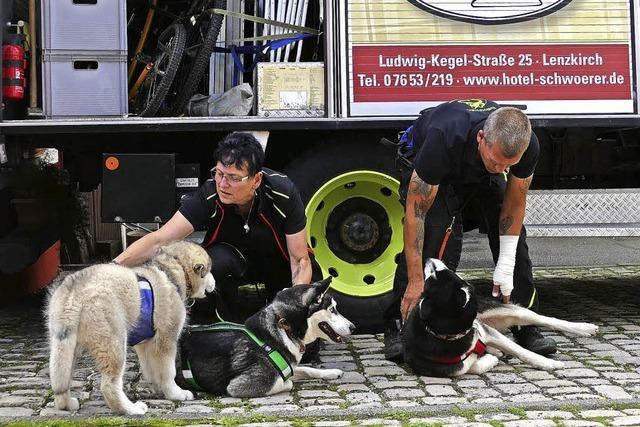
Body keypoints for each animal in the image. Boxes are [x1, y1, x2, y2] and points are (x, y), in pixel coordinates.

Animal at [402, 258, 596, 378]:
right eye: (433, 274)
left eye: (438, 272)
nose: (428, 259)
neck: (454, 334)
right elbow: (471, 366)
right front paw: (490, 358)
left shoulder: (487, 333)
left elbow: (523, 352)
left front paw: (549, 364)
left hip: (506, 311)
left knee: (544, 319)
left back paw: (585, 328)